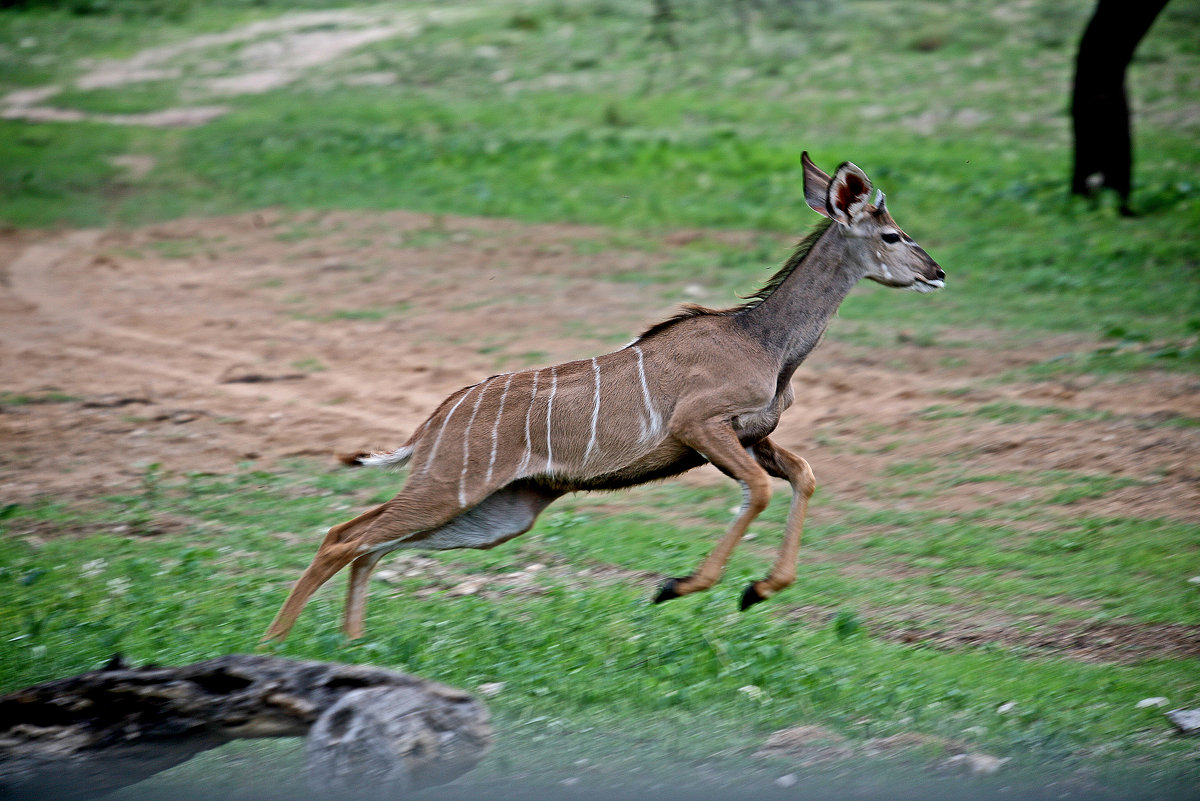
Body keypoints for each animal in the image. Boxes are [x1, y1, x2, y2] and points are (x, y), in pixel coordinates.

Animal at [262, 148, 945, 637]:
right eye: (891, 235)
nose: (937, 272)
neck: (765, 341)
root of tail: (433, 423)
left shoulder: (756, 435)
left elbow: (803, 474)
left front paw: (757, 590)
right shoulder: (701, 428)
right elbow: (757, 490)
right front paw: (680, 586)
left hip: (497, 512)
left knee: (366, 540)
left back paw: (348, 645)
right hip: (450, 486)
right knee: (344, 537)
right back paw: (275, 644)